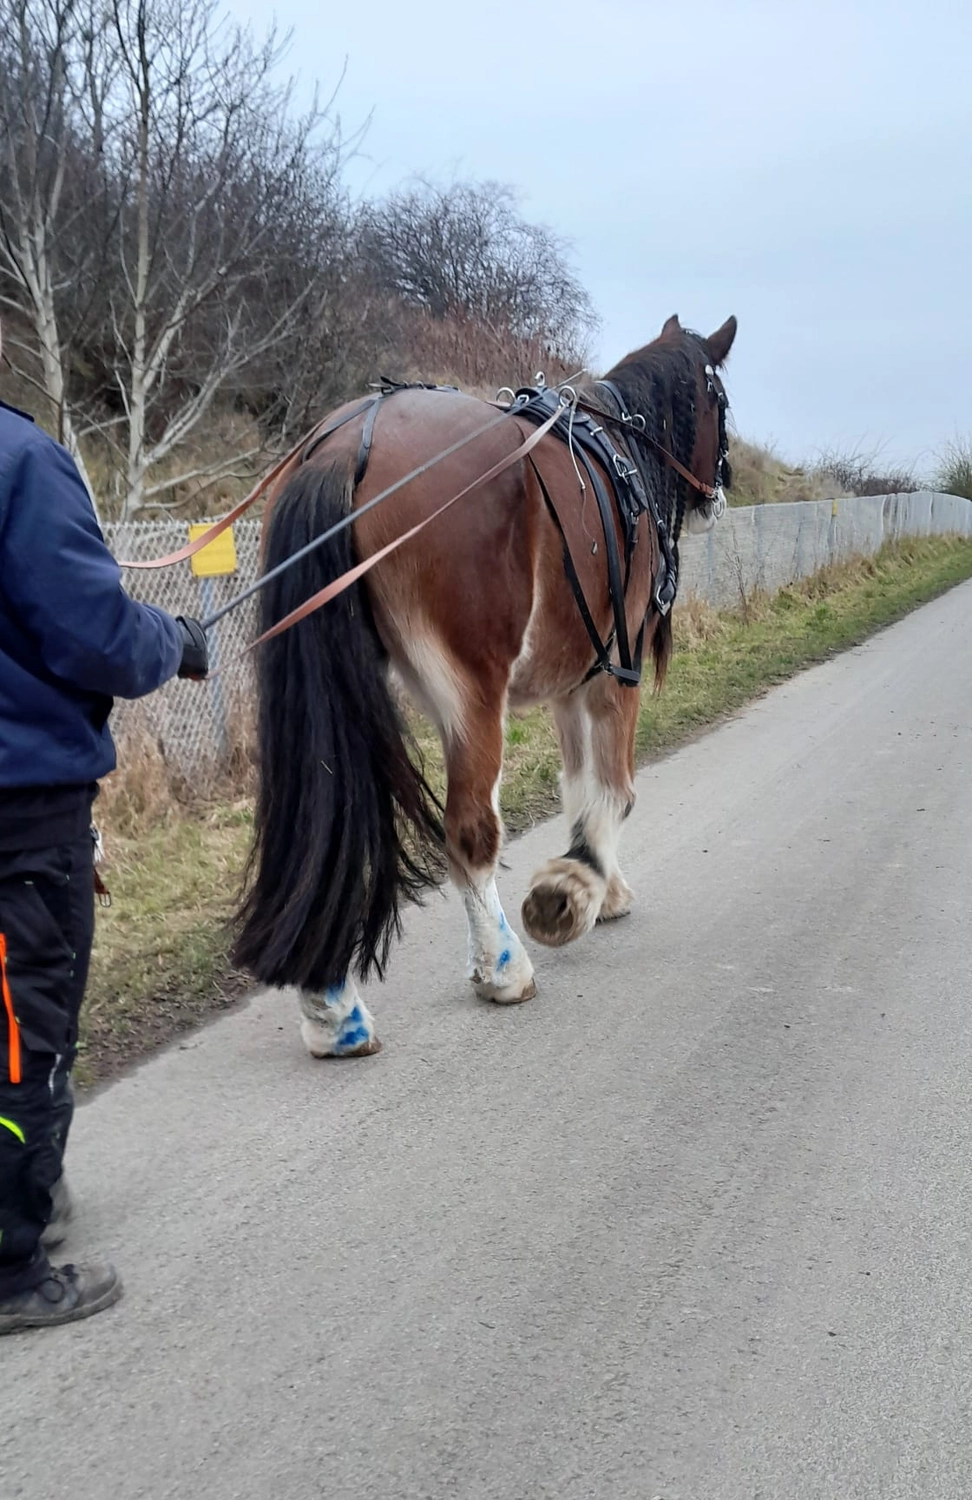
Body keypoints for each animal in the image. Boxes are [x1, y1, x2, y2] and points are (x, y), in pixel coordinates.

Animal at [231, 313, 737, 1058]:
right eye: (720, 402)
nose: (721, 482)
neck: (622, 450)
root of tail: (347, 442)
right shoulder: (613, 671)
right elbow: (615, 788)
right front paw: (573, 888)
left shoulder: (569, 680)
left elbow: (578, 783)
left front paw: (602, 886)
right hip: (471, 693)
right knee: (471, 831)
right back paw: (502, 967)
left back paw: (333, 1009)